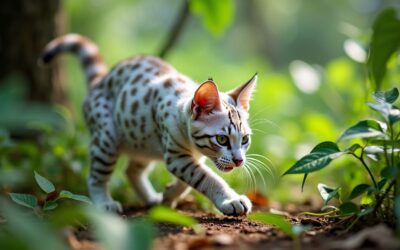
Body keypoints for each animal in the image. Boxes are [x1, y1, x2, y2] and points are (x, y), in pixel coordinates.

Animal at [40, 33, 256, 217]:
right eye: (222, 139)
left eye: (245, 139)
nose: (239, 161)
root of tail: (100, 82)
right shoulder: (176, 156)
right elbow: (207, 178)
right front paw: (231, 200)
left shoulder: (188, 157)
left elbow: (188, 181)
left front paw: (169, 195)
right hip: (107, 138)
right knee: (95, 177)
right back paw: (105, 204)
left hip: (143, 143)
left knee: (130, 171)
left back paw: (152, 199)